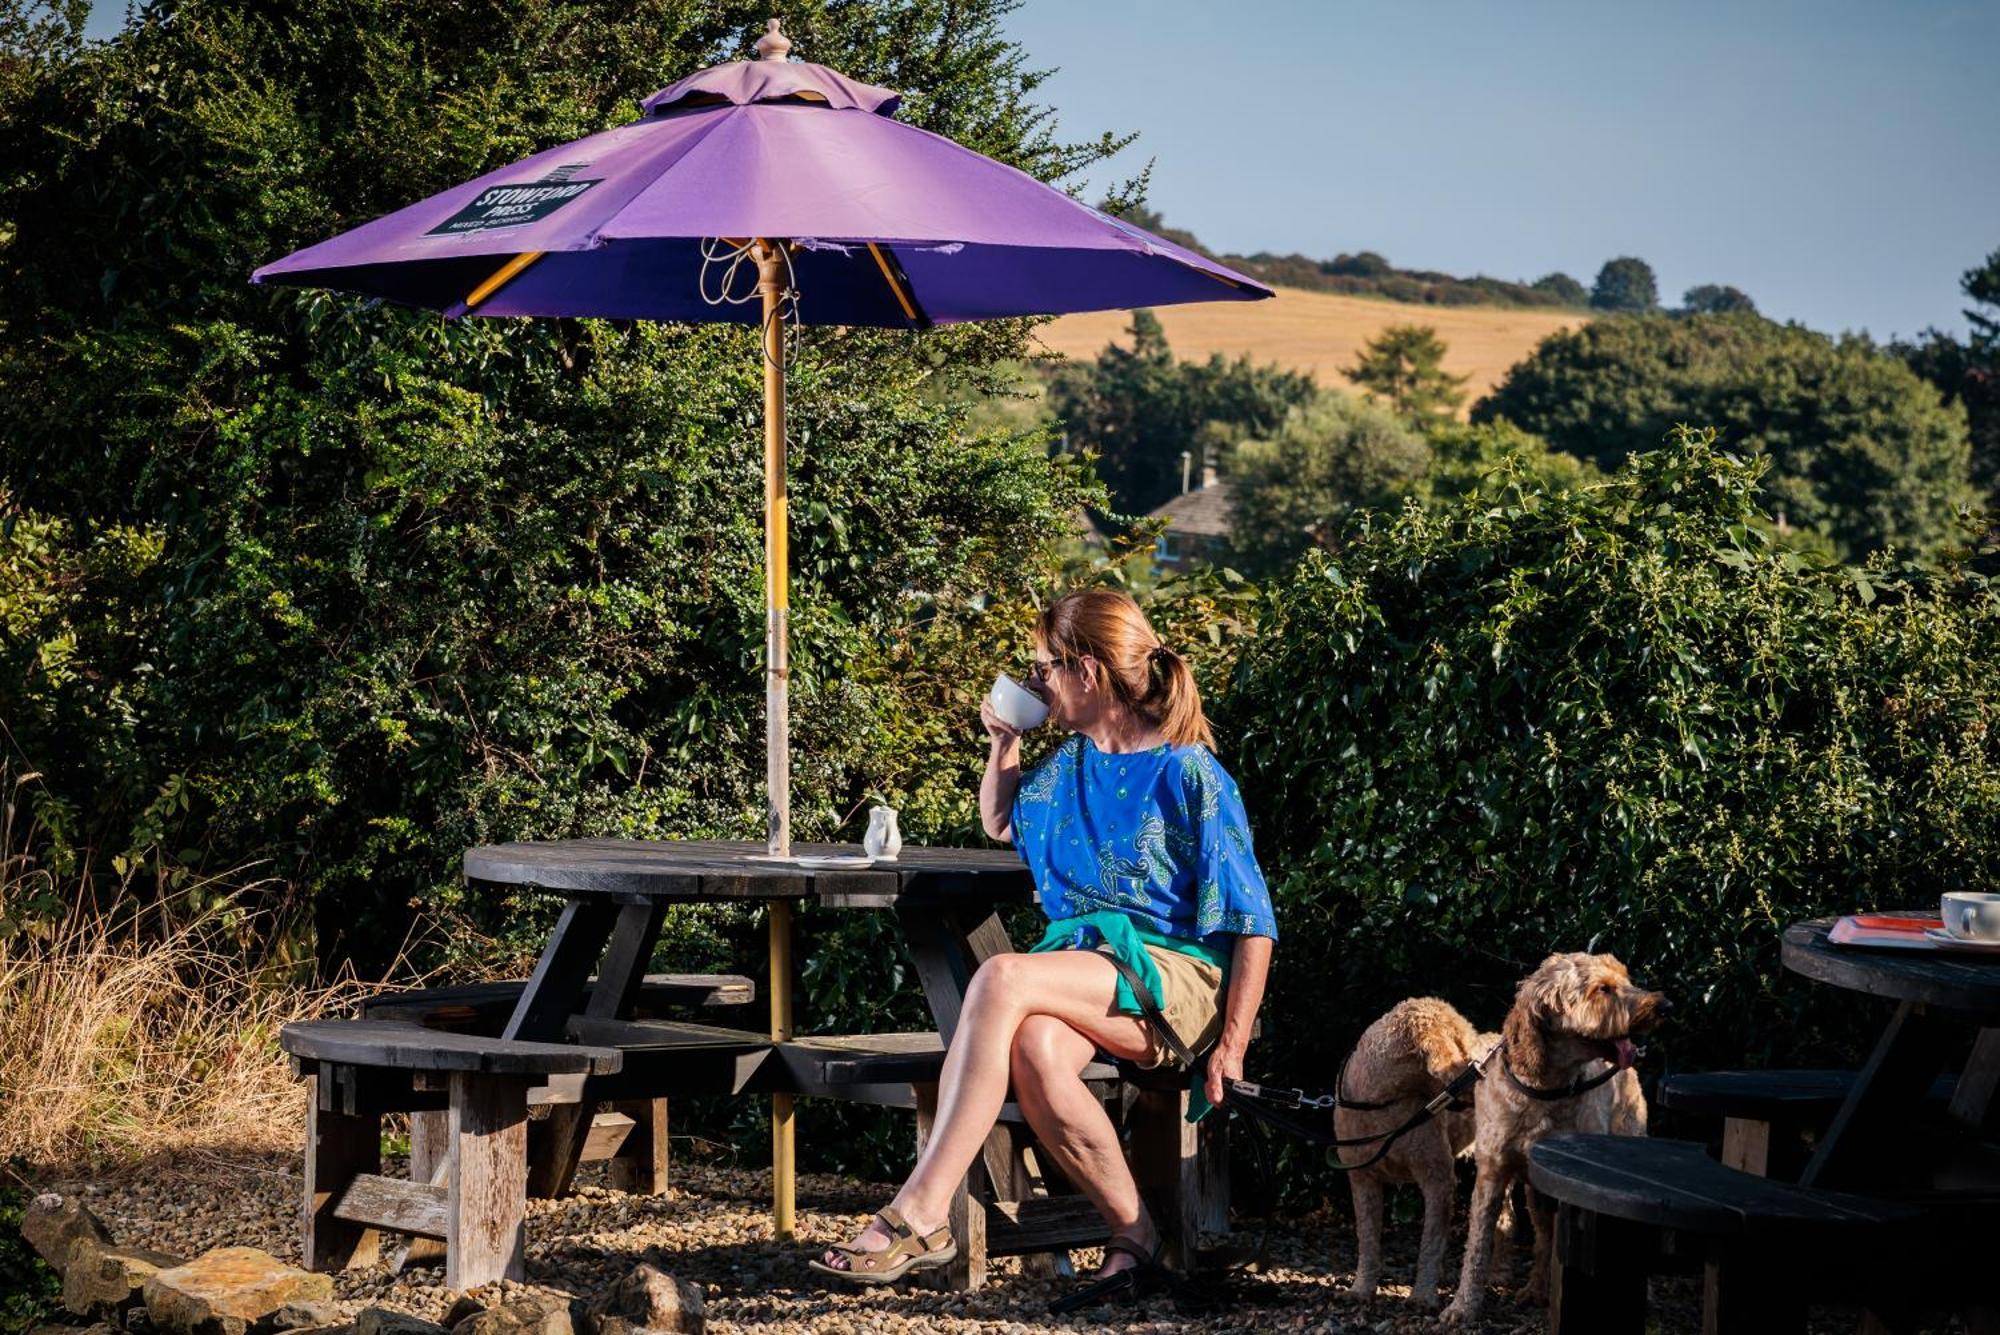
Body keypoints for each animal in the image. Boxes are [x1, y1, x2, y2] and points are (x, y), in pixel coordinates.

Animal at [1336, 999, 1496, 1303]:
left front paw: (1422, 1295)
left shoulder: (1438, 1179)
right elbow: (1367, 1237)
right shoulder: (1362, 1179)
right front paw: (1361, 1289)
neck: (1385, 1106)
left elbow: (1430, 1244)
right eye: (1468, 1044)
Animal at [1448, 947, 1664, 1327]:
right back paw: (1536, 1289)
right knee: (1544, 1235)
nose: (1664, 1004)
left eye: (1626, 978)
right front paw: (1463, 1306)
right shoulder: (1491, 1174)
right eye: (1602, 989)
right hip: (1536, 1188)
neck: (1546, 1090)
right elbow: (1477, 1246)